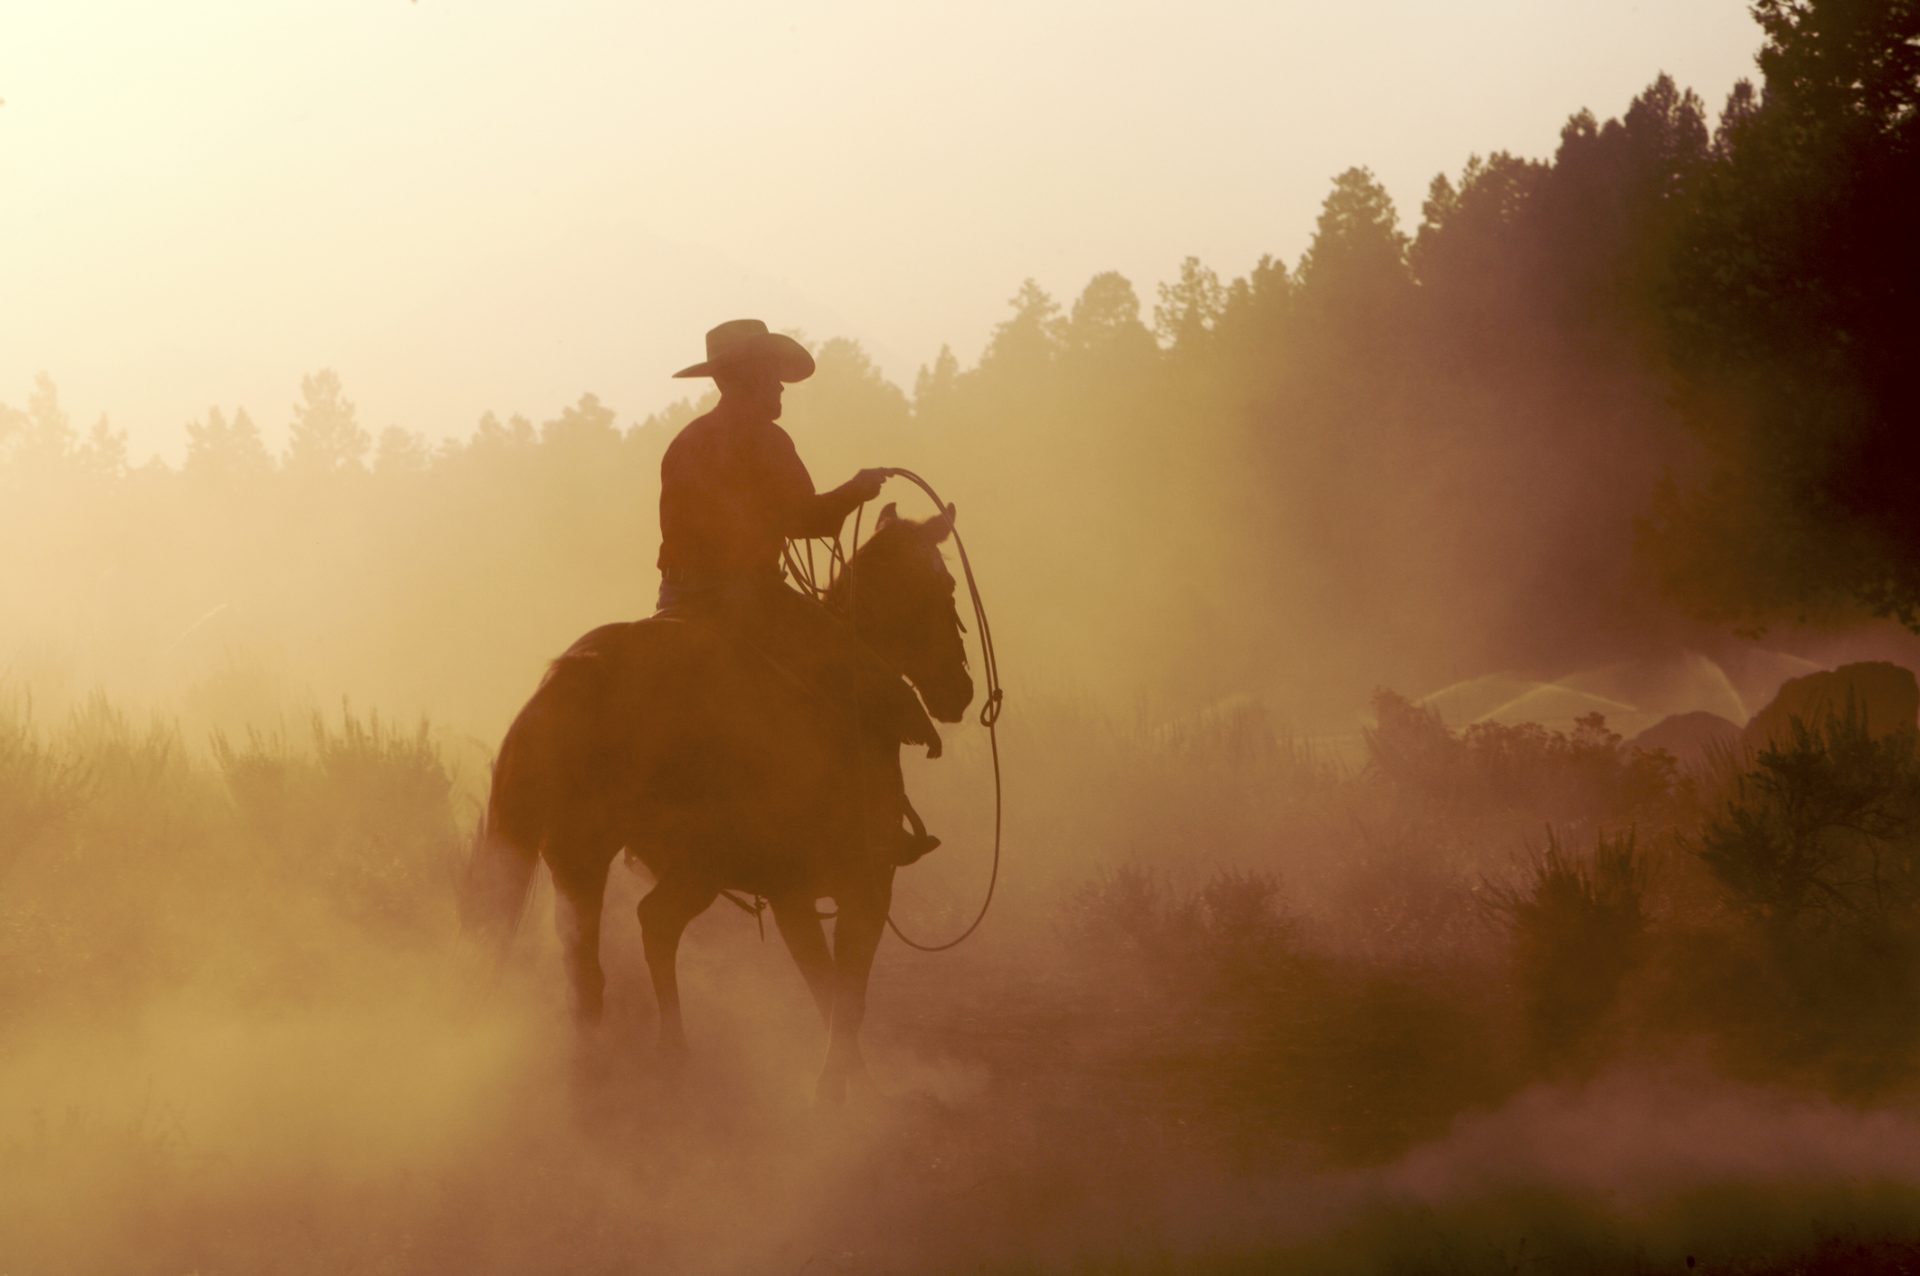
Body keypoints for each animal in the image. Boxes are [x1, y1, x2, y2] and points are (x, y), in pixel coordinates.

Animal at [460, 502, 975, 1097]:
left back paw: (638, 1063)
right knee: (635, 937)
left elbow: (827, 986)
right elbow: (844, 989)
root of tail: (572, 675)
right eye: (946, 585)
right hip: (662, 859)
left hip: (596, 858)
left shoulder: (792, 890)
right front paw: (843, 1090)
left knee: (602, 959)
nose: (961, 691)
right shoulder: (860, 879)